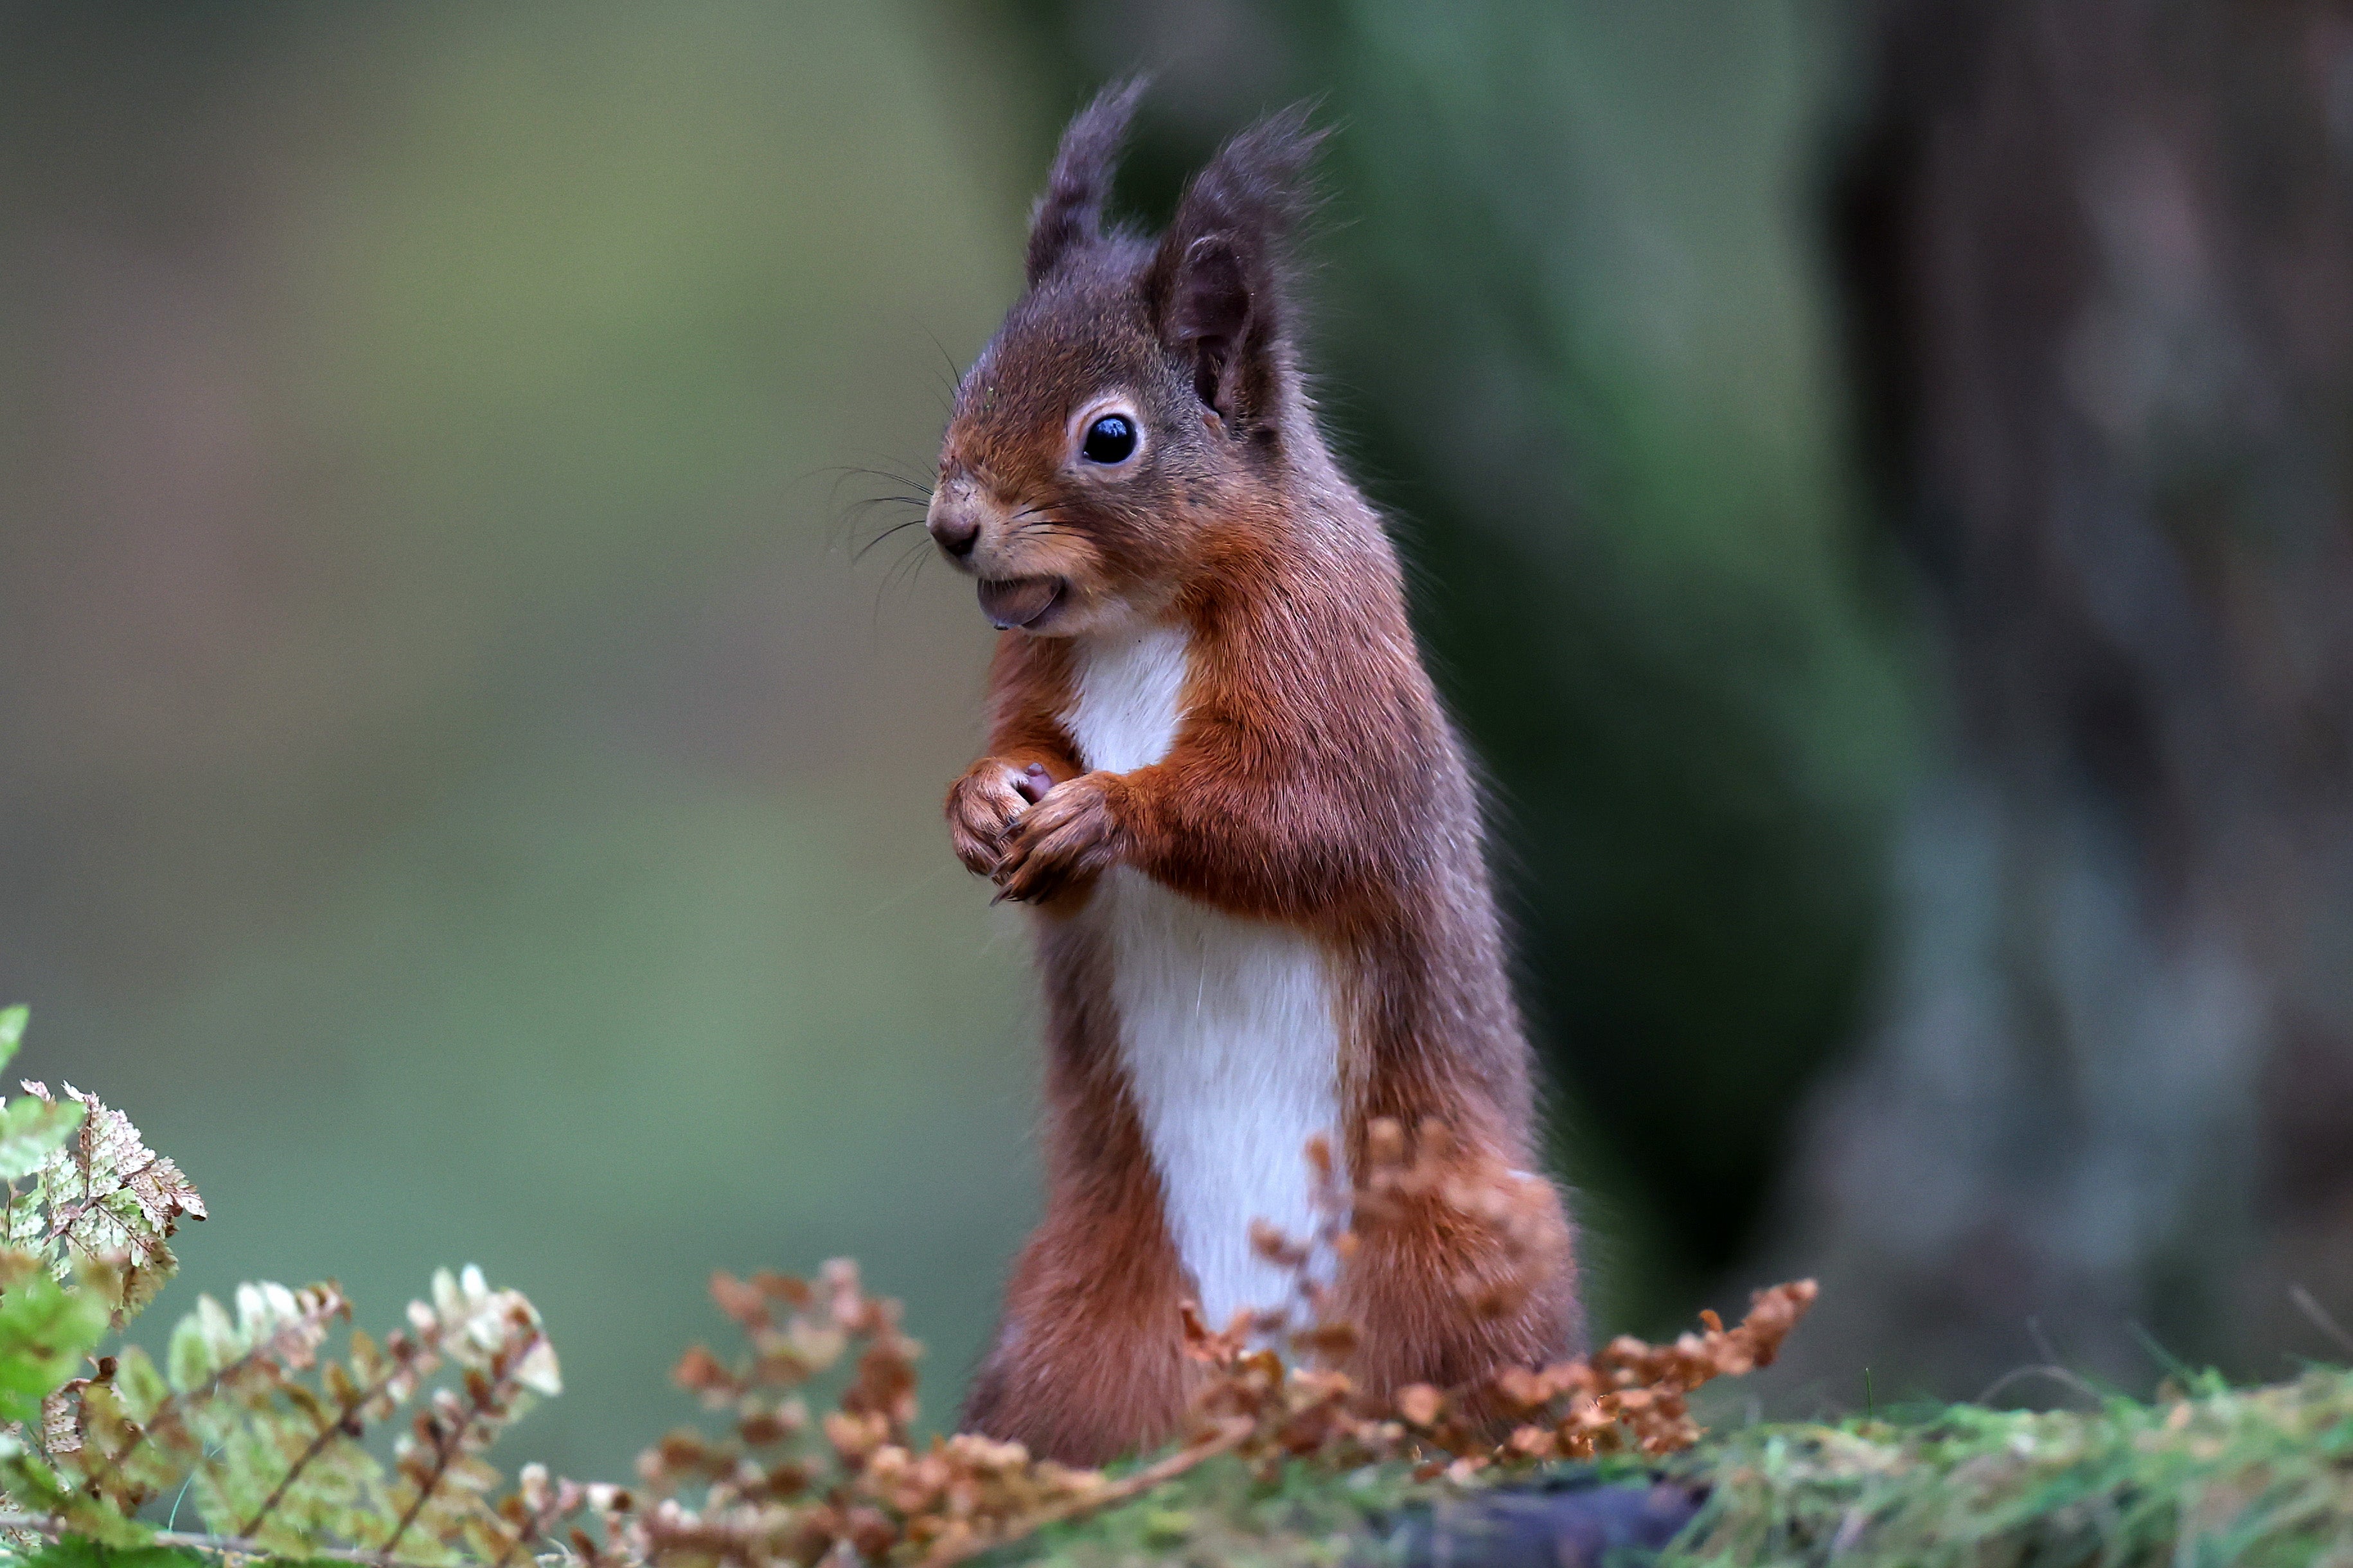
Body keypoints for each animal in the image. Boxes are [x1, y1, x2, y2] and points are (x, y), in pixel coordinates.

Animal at [926, 81, 1583, 1466]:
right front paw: (979, 801)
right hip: (1068, 1319)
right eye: (972, 377)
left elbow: (1309, 824)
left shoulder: (1330, 656)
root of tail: (1265, 1375)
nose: (953, 527)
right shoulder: (1036, 679)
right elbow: (1028, 774)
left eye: (1109, 436)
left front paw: (1109, 810)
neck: (1140, 618)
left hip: (1461, 1252)